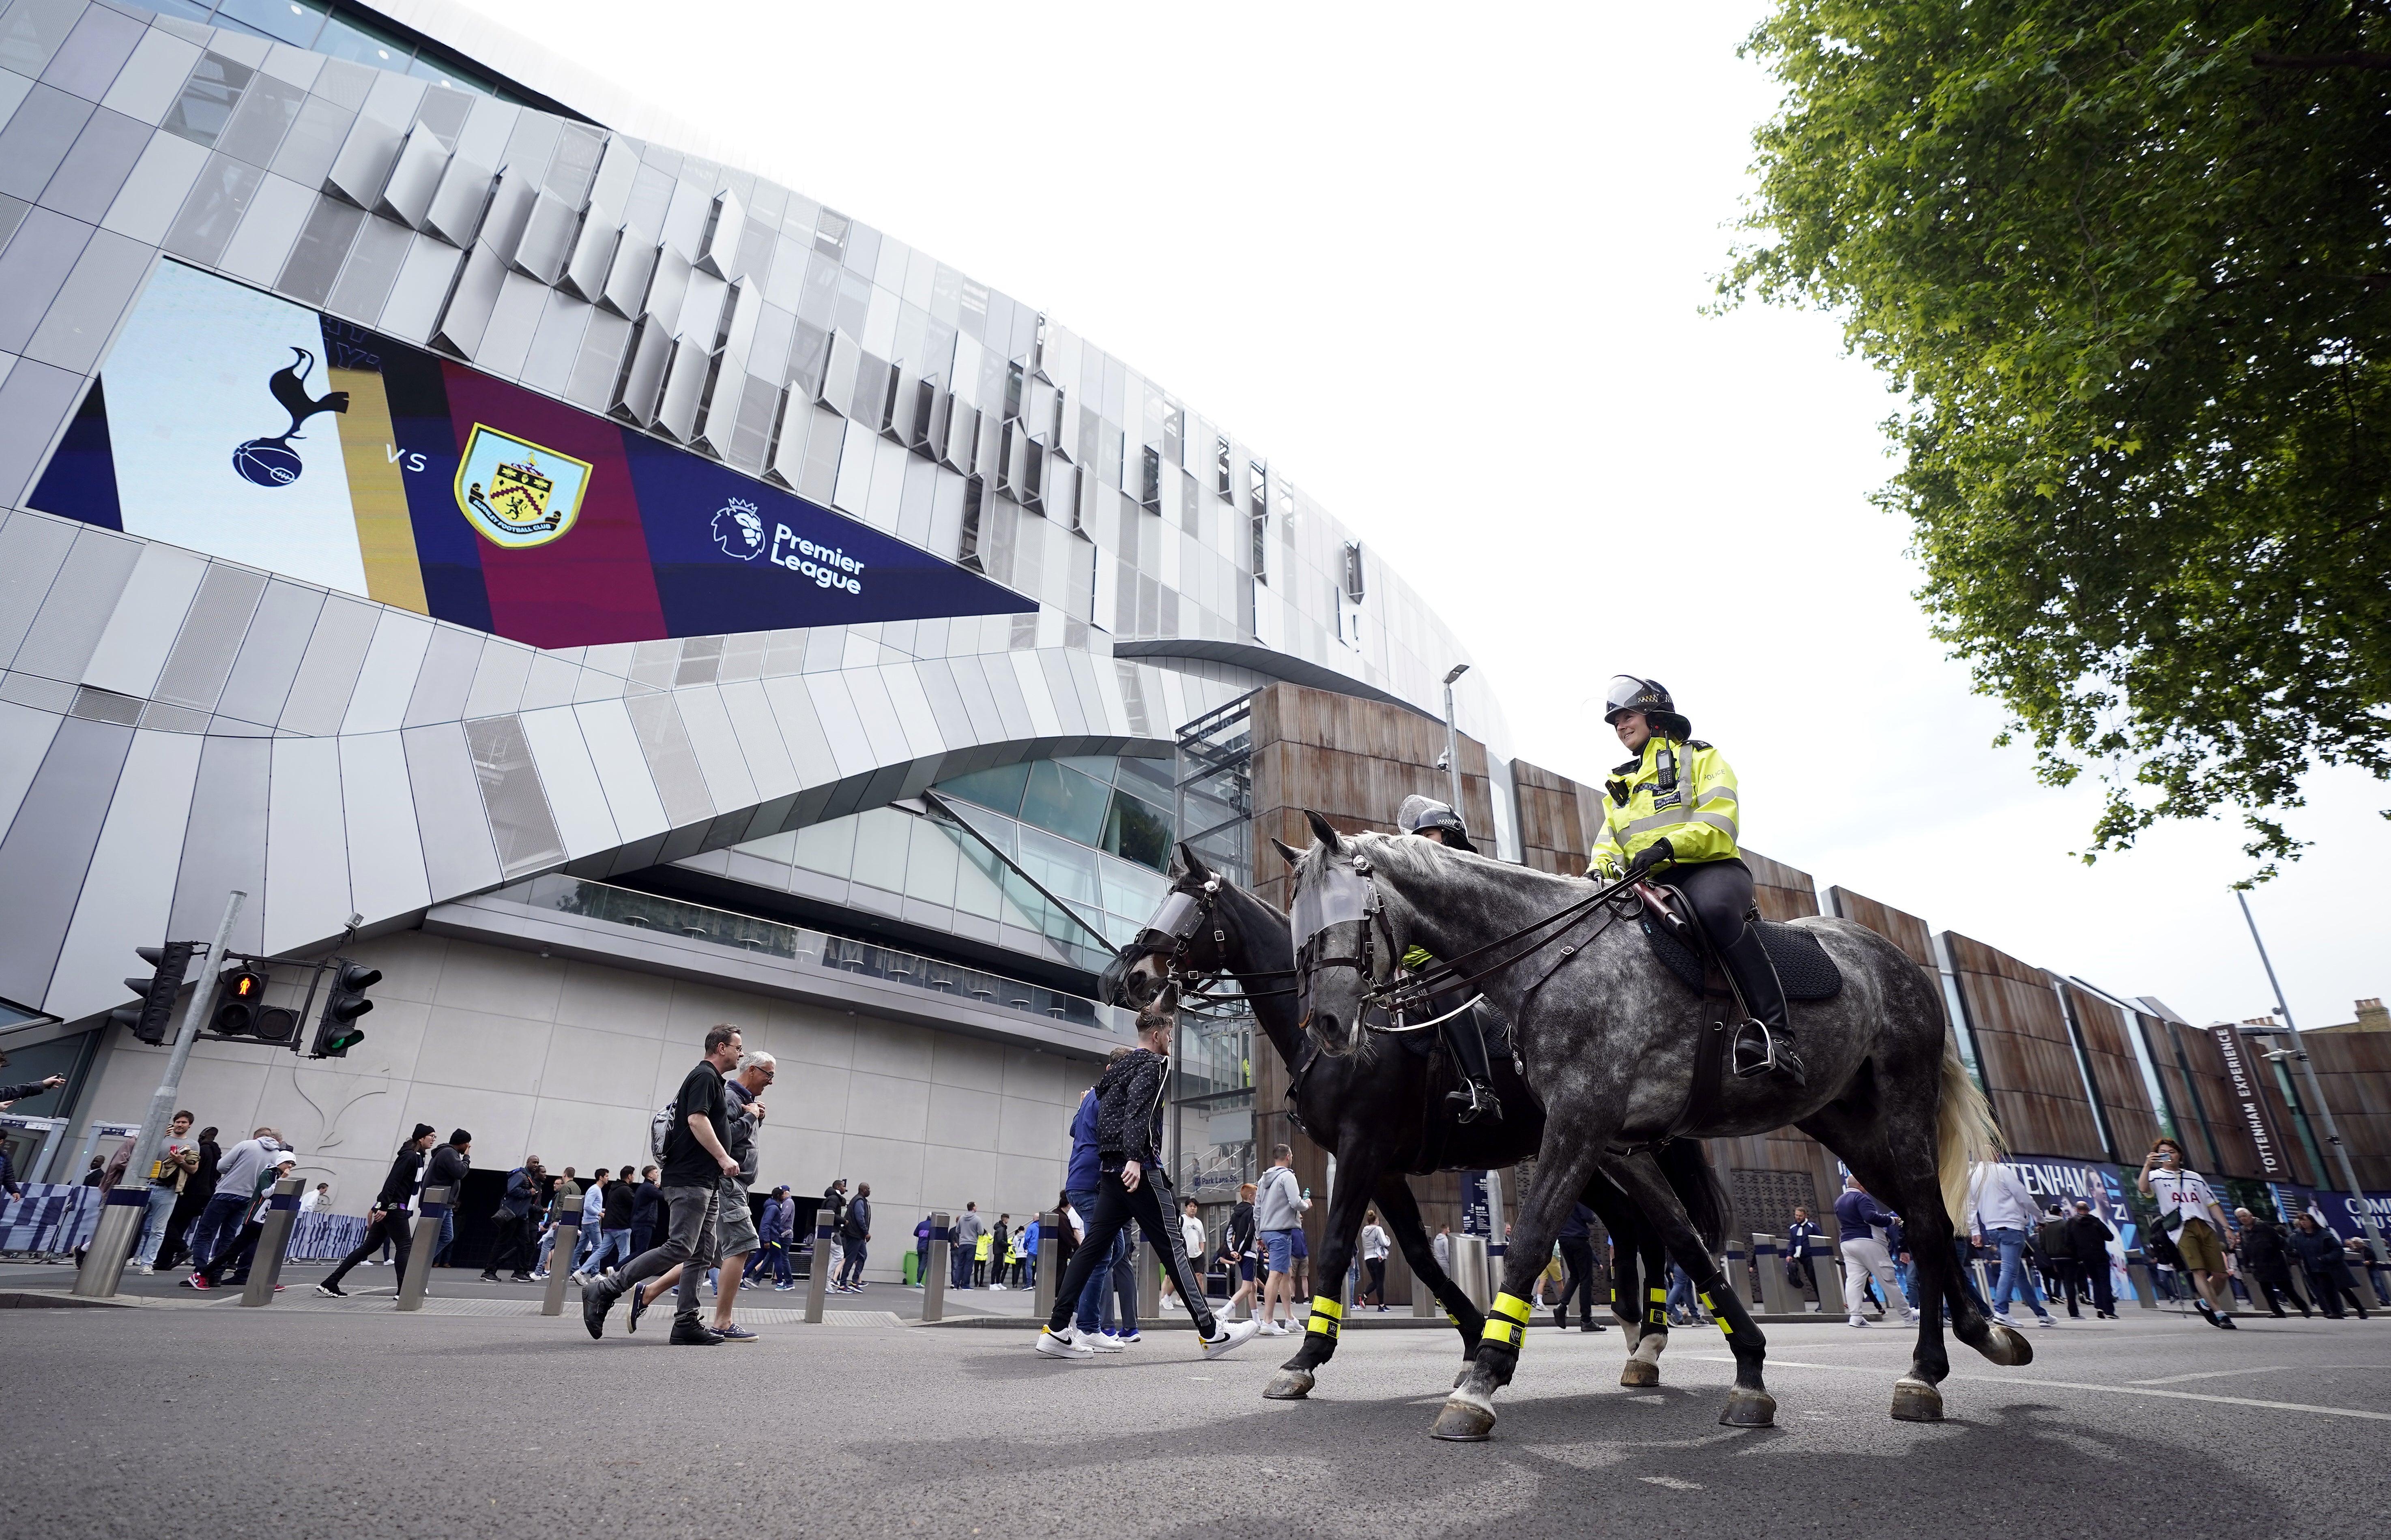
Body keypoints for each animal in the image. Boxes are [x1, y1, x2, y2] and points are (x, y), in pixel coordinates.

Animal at [1281, 817, 2027, 1444]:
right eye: (1296, 924)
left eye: (1347, 912)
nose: (1326, 1023)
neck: (1547, 957)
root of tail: (1895, 958)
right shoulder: (1612, 1140)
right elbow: (1683, 1239)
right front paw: (1748, 1371)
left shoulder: (1576, 1122)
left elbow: (1529, 1242)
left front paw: (1480, 1379)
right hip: (1846, 1123)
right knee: (1924, 1216)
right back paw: (1981, 1334)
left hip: (1902, 1098)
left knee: (1924, 1221)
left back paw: (1925, 1369)